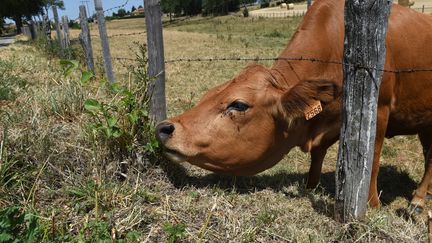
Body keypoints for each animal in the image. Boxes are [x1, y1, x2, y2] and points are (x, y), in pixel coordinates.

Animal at [155, 0, 432, 211]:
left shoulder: (379, 110)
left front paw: (372, 205)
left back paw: (417, 201)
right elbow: (318, 154)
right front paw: (310, 186)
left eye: (239, 105)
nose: (164, 128)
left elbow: (371, 159)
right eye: (208, 93)